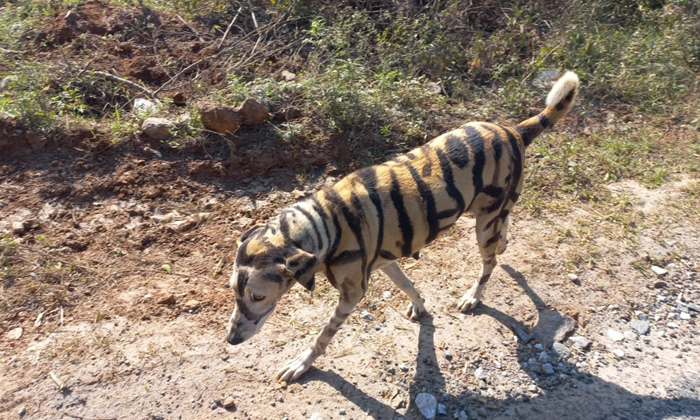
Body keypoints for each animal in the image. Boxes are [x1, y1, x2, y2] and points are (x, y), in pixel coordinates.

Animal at [226, 70, 580, 382]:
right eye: (234, 291)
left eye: (257, 296)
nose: (230, 340)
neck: (326, 222)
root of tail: (513, 131)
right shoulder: (386, 263)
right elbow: (409, 285)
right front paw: (419, 306)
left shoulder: (352, 294)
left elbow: (322, 335)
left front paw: (302, 363)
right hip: (488, 214)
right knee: (502, 232)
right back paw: (501, 245)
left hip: (483, 226)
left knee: (488, 263)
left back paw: (473, 295)